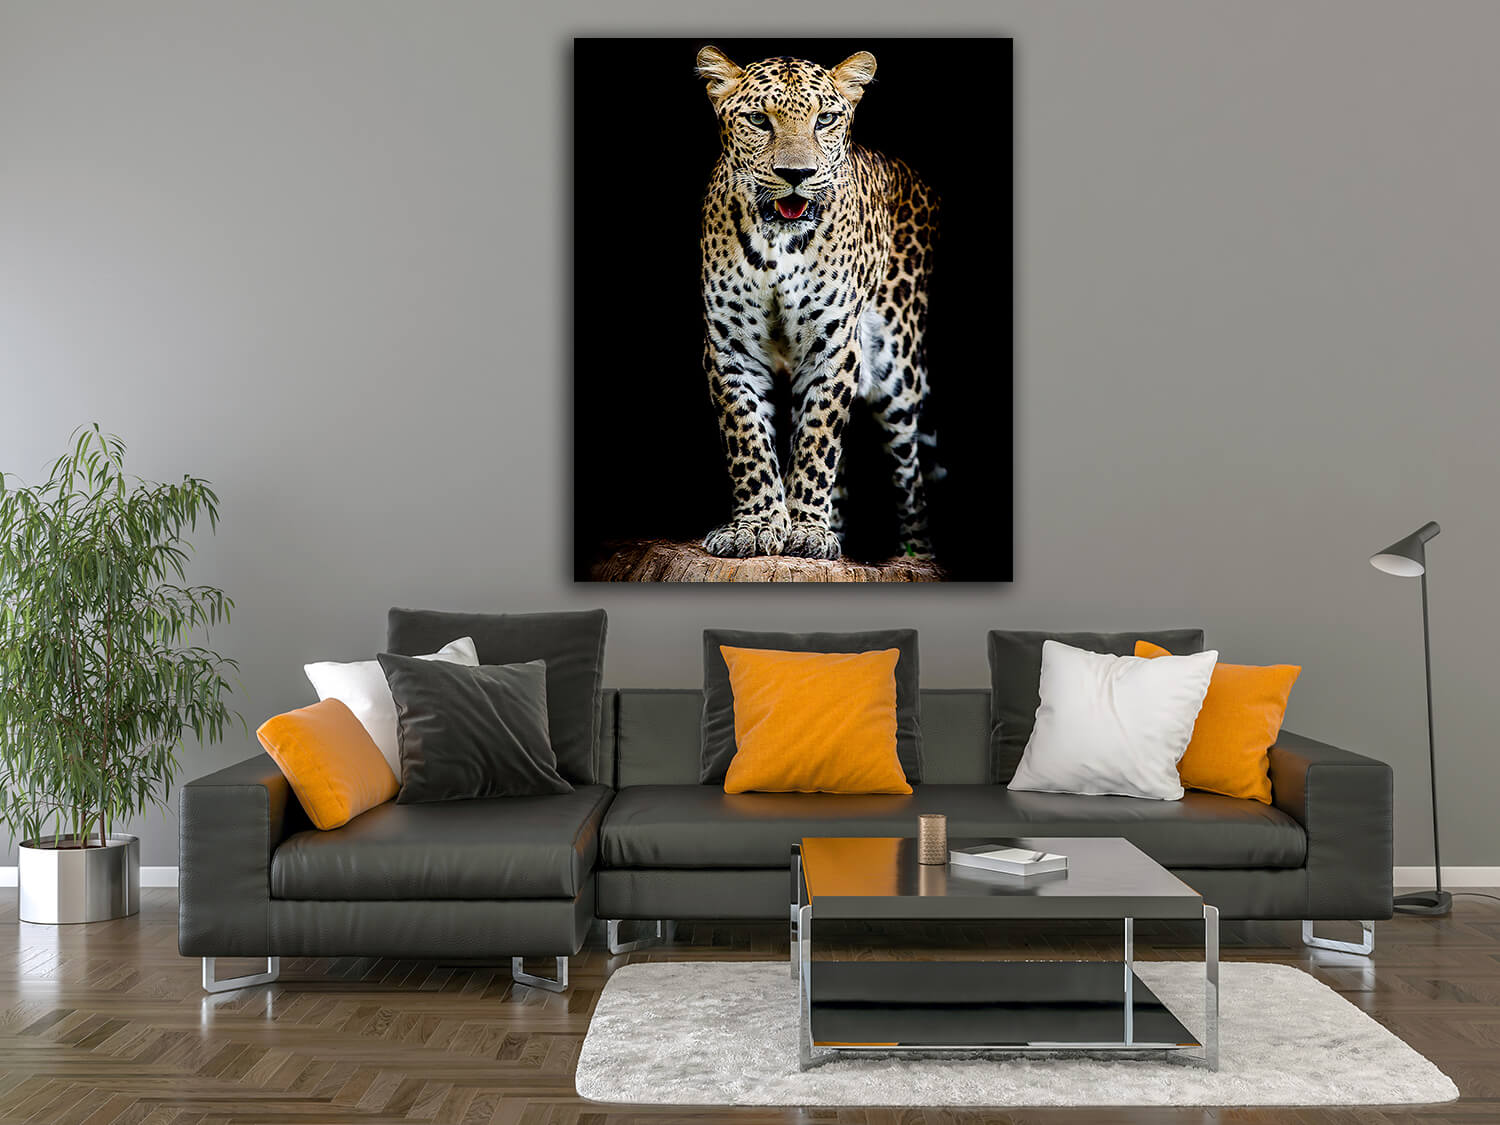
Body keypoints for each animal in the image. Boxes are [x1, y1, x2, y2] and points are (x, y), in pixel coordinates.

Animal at [695, 46, 941, 562]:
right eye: (758, 119)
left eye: (824, 119)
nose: (796, 175)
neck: (779, 244)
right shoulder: (730, 347)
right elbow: (749, 439)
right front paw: (757, 525)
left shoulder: (835, 346)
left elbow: (817, 440)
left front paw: (806, 528)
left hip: (898, 373)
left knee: (909, 474)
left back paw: (916, 553)